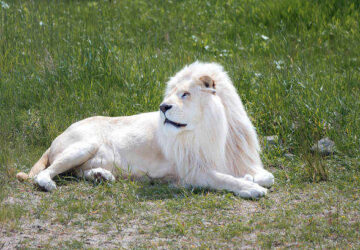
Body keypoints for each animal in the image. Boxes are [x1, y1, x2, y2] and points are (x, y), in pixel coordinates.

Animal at [16, 61, 274, 198]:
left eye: (185, 94)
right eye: (170, 94)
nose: (163, 107)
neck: (215, 130)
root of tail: (55, 138)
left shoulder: (237, 160)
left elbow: (268, 176)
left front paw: (251, 178)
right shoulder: (193, 171)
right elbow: (225, 179)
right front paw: (250, 187)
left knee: (76, 172)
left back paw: (101, 176)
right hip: (85, 144)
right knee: (44, 173)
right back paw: (50, 184)